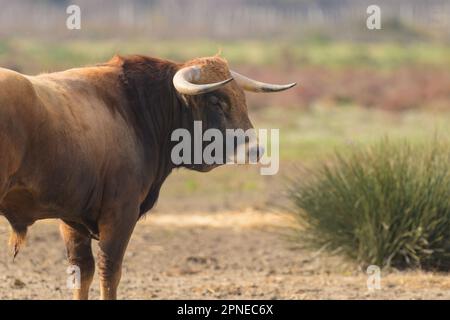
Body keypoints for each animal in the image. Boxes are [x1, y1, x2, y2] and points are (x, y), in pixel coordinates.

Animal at [0, 53, 298, 298]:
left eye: (241, 98)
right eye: (216, 100)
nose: (256, 149)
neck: (137, 109)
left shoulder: (72, 218)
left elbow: (82, 271)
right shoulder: (120, 213)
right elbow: (110, 271)